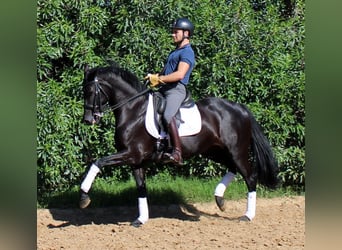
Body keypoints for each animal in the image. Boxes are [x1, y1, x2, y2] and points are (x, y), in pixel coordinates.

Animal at [79, 63, 280, 227]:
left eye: (91, 92)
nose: (88, 120)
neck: (133, 110)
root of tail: (240, 108)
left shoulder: (130, 153)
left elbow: (98, 162)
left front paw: (84, 197)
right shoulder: (137, 160)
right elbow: (141, 188)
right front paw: (141, 219)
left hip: (237, 151)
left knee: (250, 177)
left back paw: (247, 215)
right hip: (214, 151)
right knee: (232, 168)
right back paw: (220, 199)